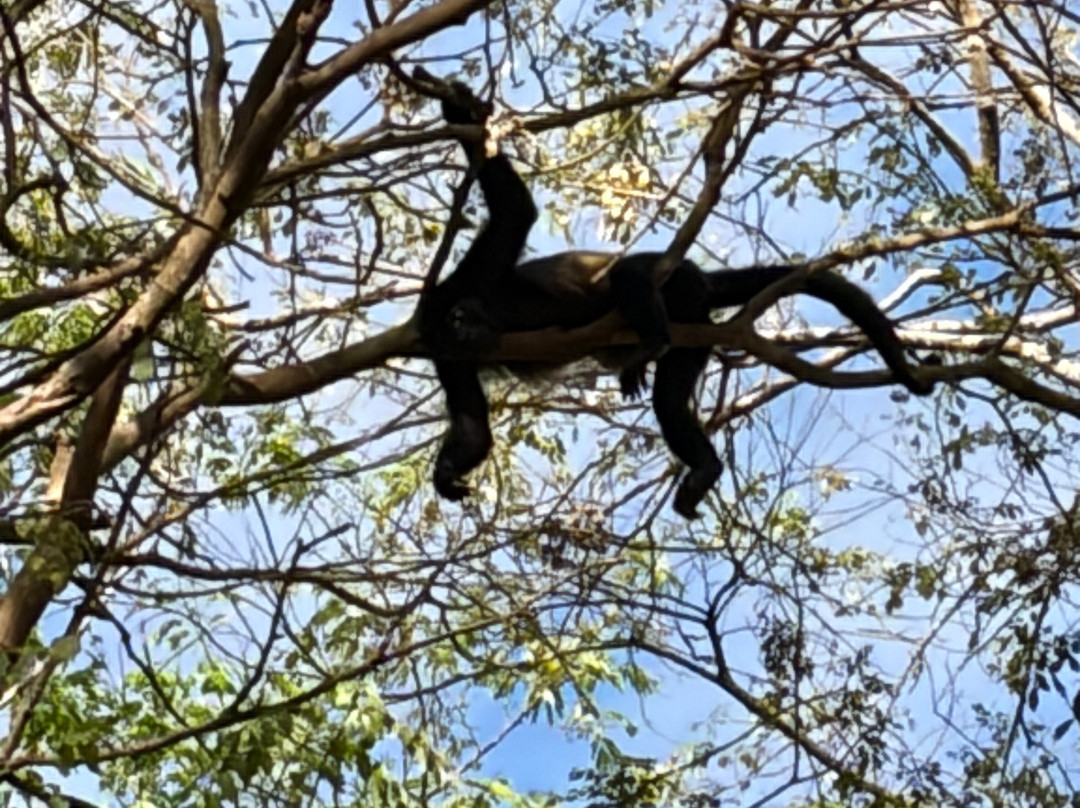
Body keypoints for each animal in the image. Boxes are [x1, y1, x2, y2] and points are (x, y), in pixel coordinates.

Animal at [420, 80, 933, 519]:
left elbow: (515, 209)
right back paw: (705, 465)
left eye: (458, 316)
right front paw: (445, 475)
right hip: (696, 329)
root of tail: (700, 282)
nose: (461, 330)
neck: (488, 313)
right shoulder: (446, 356)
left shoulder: (474, 275)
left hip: (678, 283)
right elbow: (475, 430)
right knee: (669, 401)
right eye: (450, 328)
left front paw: (459, 110)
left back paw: (649, 342)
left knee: (629, 274)